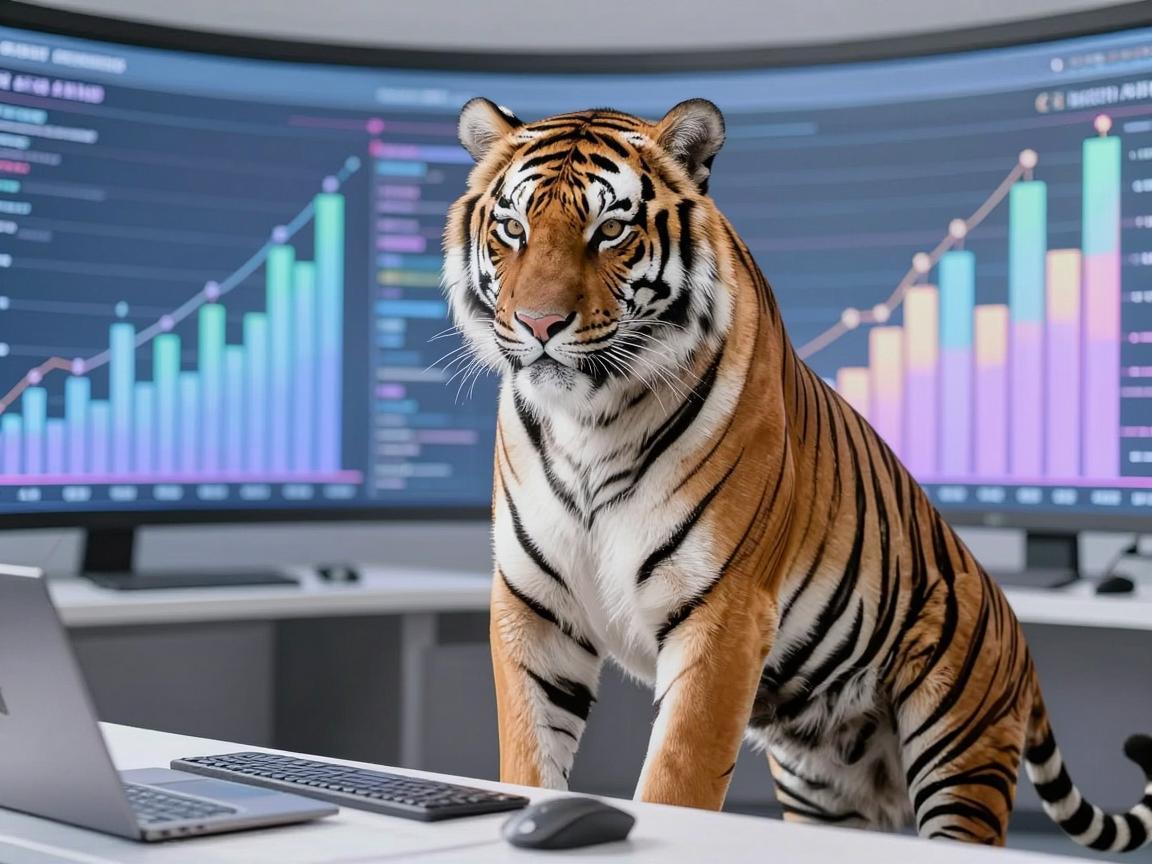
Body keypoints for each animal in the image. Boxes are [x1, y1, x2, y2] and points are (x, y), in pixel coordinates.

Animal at [441, 96, 1152, 849]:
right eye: (512, 229)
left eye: (610, 230)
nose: (539, 323)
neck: (590, 422)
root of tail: (1018, 632)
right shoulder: (533, 605)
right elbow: (528, 757)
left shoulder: (723, 611)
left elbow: (678, 776)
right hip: (826, 786)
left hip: (959, 758)